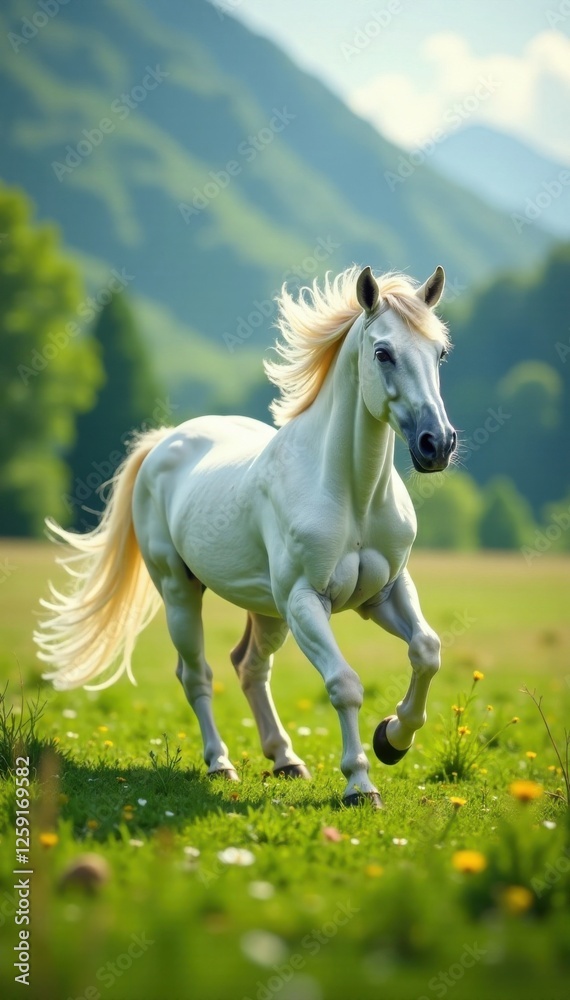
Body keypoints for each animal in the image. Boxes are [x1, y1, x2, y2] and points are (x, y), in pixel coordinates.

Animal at [35, 264, 456, 808]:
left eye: (439, 352)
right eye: (383, 352)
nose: (437, 444)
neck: (353, 496)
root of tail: (165, 442)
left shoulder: (385, 593)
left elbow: (426, 651)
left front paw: (392, 739)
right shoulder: (305, 601)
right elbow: (344, 684)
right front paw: (360, 784)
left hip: (268, 611)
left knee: (250, 667)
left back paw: (287, 760)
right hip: (181, 593)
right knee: (198, 675)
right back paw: (221, 764)